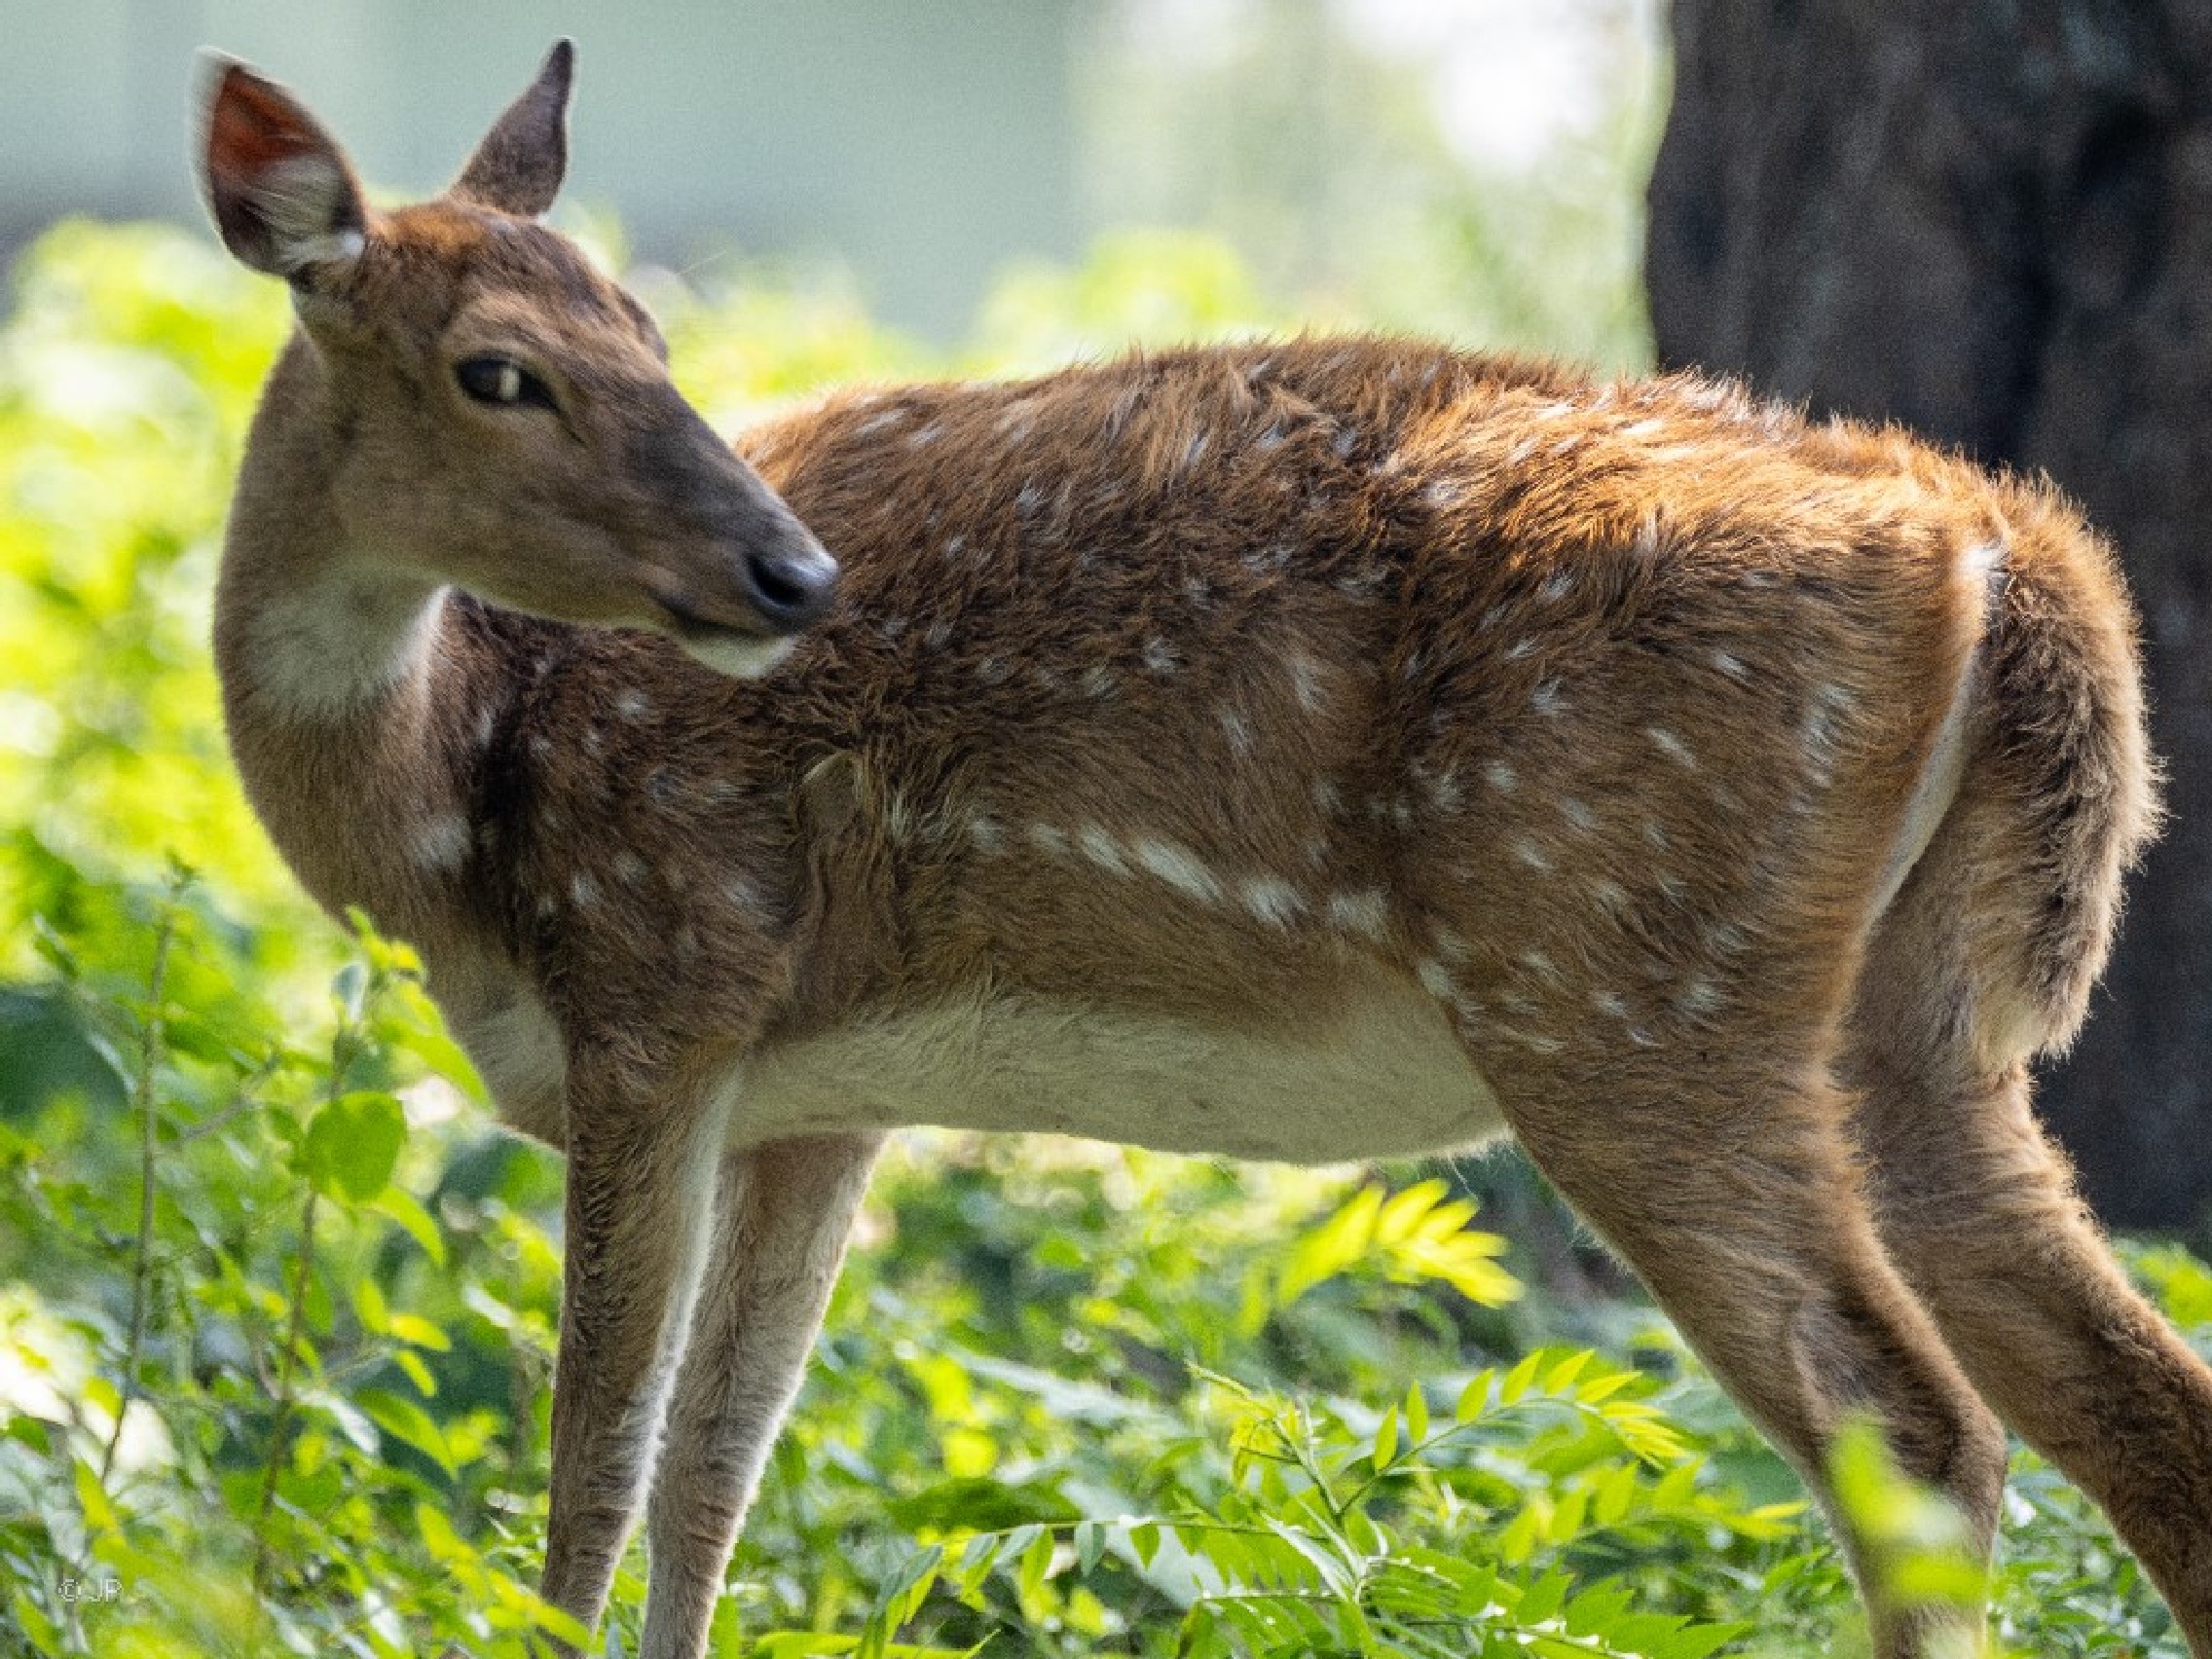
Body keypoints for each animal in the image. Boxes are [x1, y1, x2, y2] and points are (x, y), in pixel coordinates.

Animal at [194, 35, 2212, 1659]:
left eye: (651, 335)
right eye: (500, 368)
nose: (786, 573)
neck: (458, 801)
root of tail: (1998, 545)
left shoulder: (657, 981)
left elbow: (593, 1481)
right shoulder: (812, 1086)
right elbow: (715, 1472)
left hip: (1627, 974)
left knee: (1918, 1428)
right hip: (1920, 1018)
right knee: (2138, 1409)